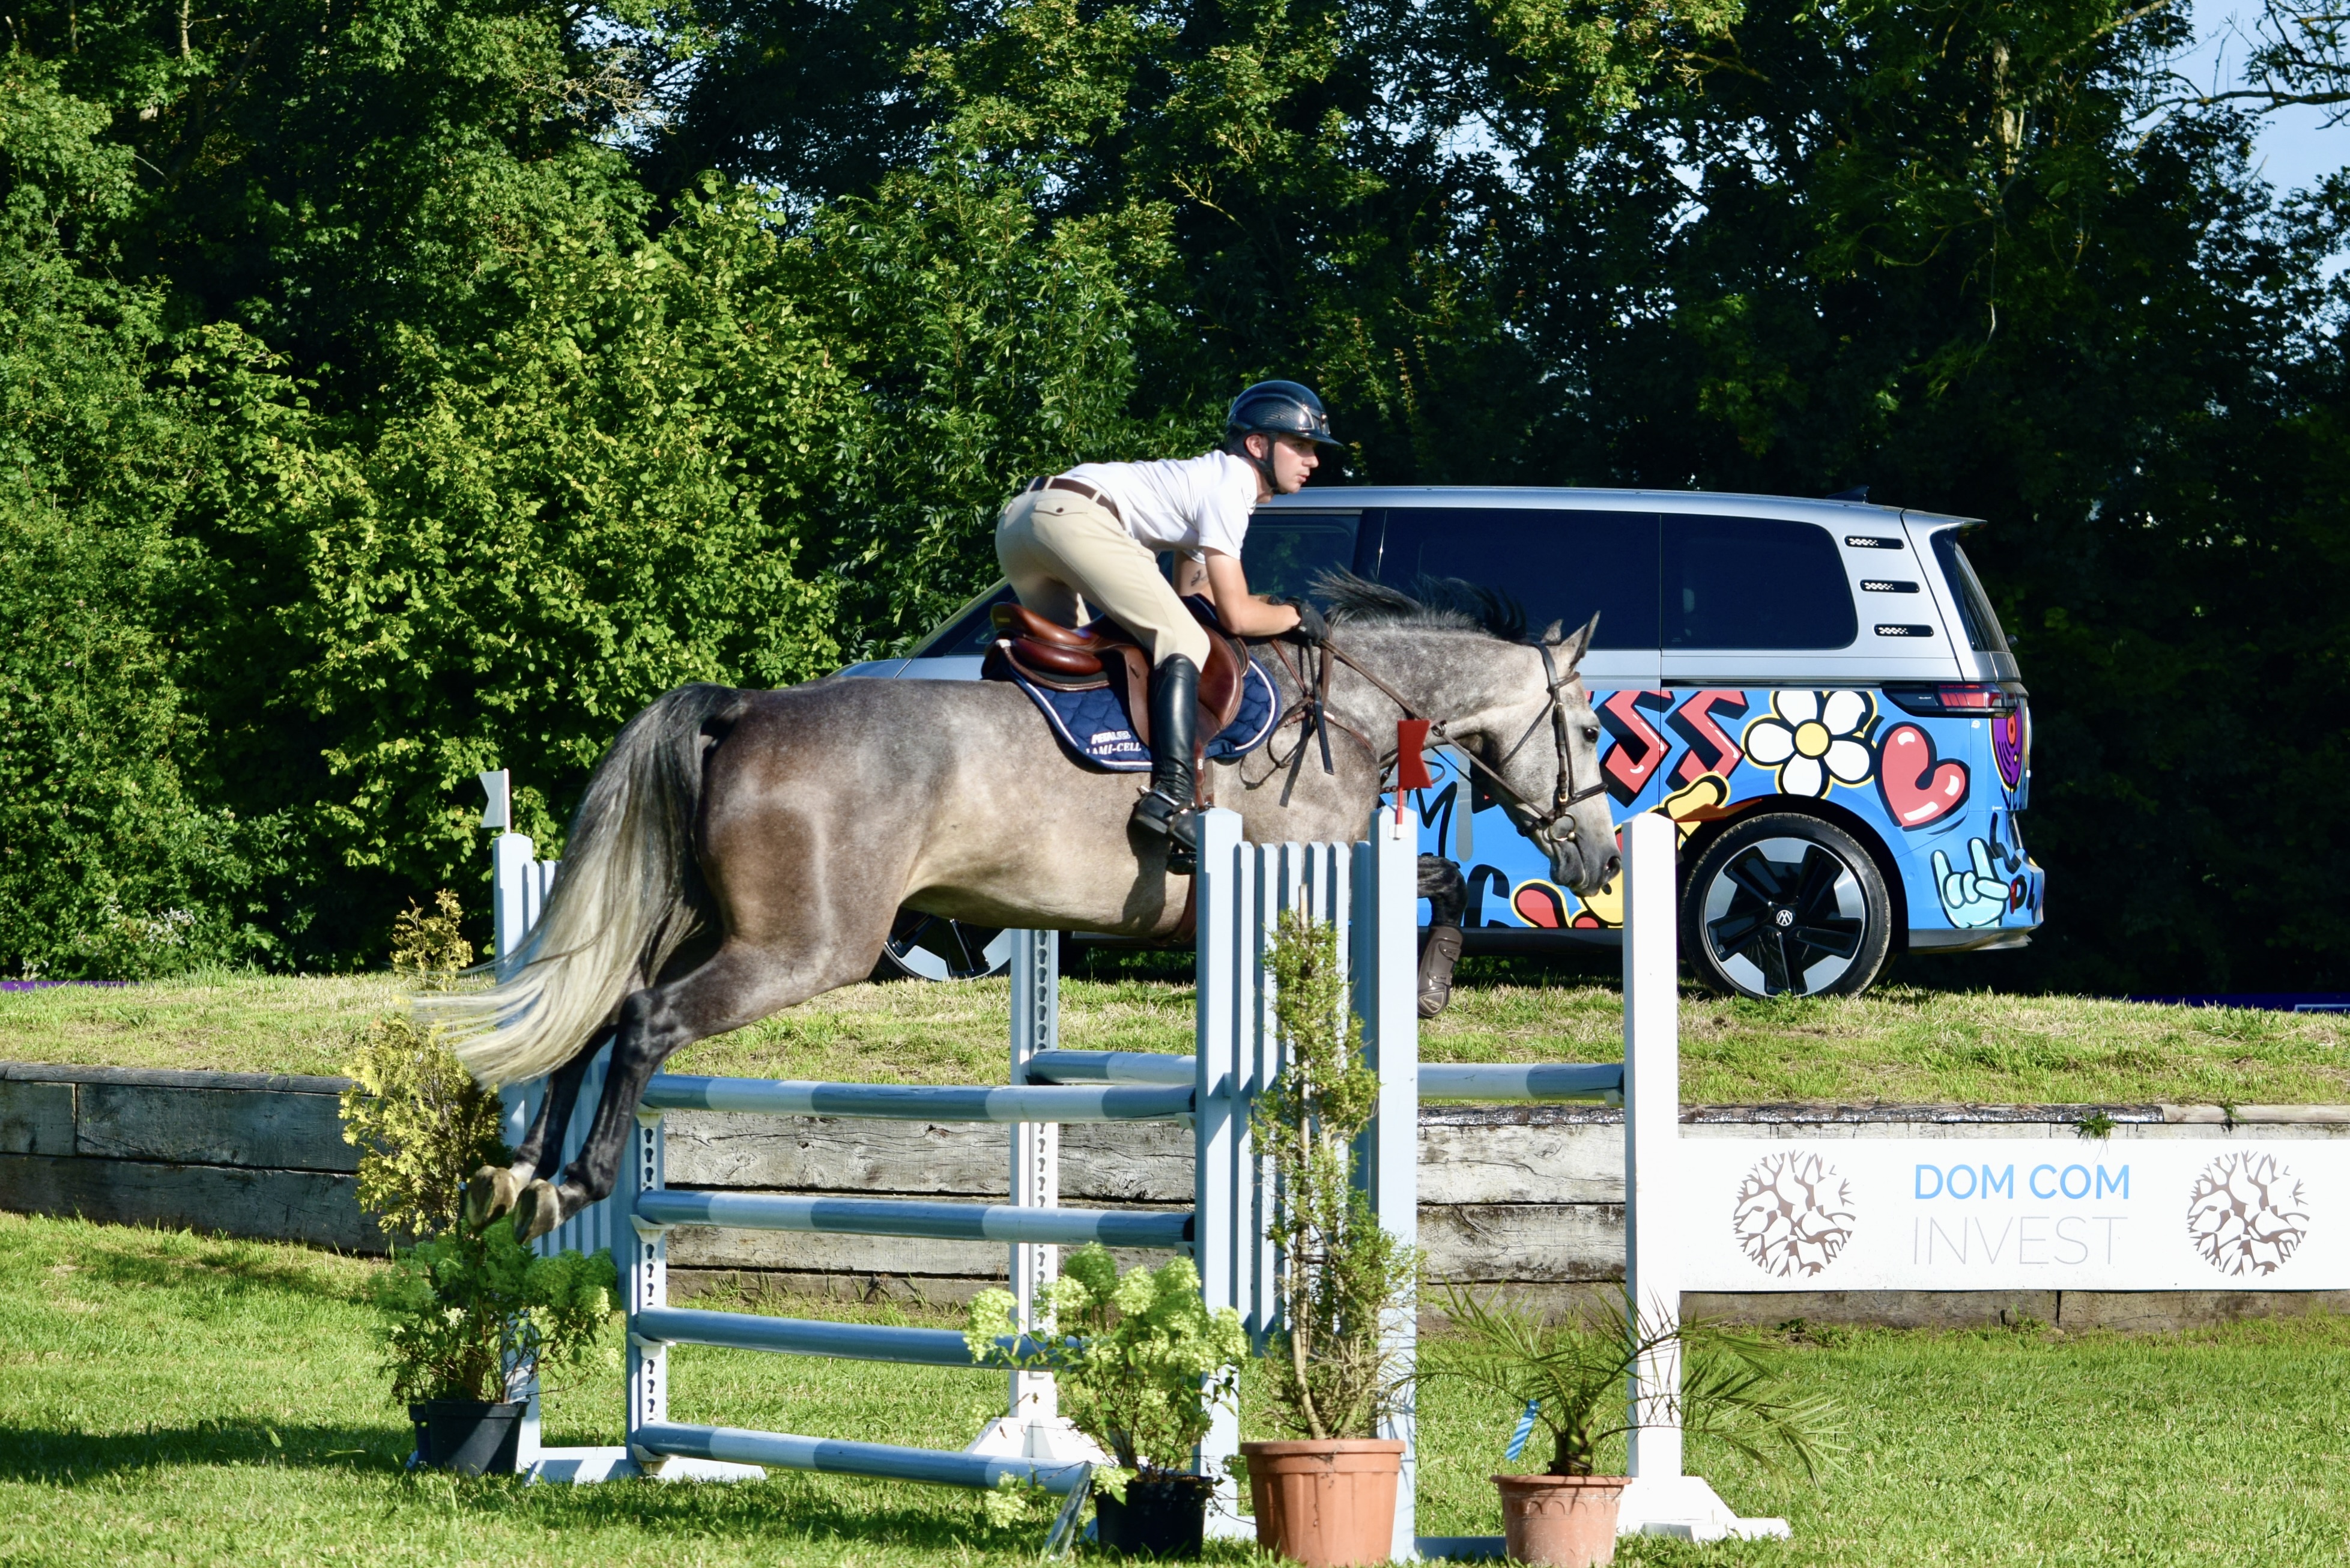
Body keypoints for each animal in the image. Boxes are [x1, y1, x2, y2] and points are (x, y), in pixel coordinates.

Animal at [434, 572, 1620, 1241]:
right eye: (1589, 732)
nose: (1603, 854)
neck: (1350, 710)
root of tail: (746, 710)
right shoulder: (1303, 864)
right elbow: (1443, 881)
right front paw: (1428, 989)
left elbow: (1441, 879)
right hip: (803, 946)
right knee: (646, 1020)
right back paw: (574, 1181)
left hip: (707, 922)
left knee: (599, 1005)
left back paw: (520, 1174)